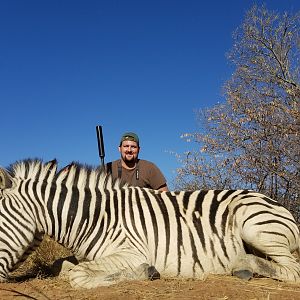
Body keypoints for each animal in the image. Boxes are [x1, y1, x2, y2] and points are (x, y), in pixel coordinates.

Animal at [0, 159, 298, 288]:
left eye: (0, 223)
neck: (93, 216)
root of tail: (276, 203)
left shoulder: (131, 252)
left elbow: (77, 276)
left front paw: (148, 272)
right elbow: (60, 266)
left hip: (254, 226)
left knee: (293, 270)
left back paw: (241, 265)